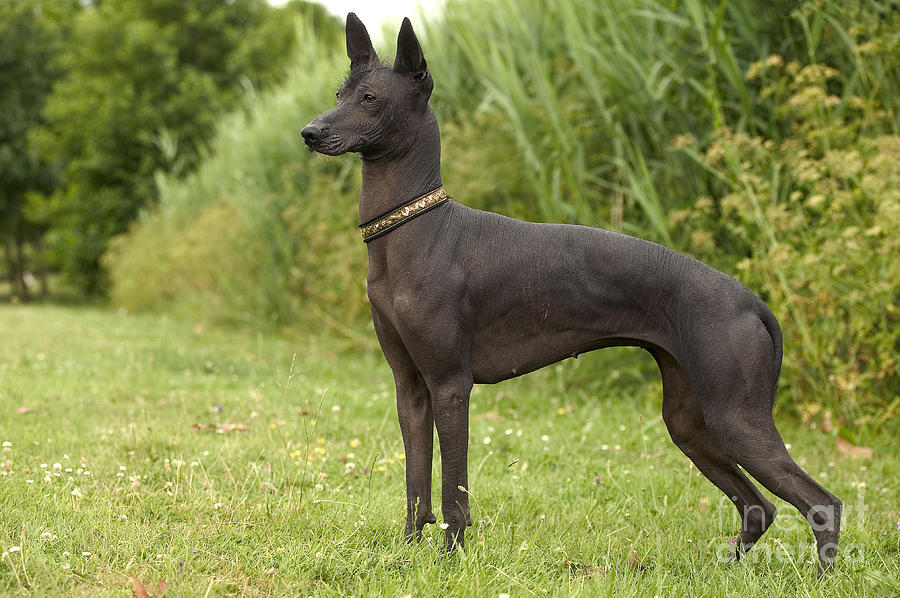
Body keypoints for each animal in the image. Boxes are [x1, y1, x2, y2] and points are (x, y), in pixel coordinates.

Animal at [302, 14, 844, 576]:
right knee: (759, 507)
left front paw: (450, 561)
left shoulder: (451, 386)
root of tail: (751, 301)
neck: (415, 228)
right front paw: (407, 555)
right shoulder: (410, 387)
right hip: (690, 423)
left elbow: (454, 492)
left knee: (820, 502)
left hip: (736, 418)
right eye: (339, 93)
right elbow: (415, 485)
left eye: (370, 98)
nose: (310, 132)